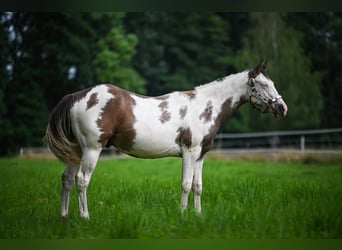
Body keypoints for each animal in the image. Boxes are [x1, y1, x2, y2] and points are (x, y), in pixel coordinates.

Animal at [44, 59, 286, 218]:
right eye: (264, 84)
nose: (282, 108)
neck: (205, 107)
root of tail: (76, 96)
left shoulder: (200, 156)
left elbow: (198, 185)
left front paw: (198, 215)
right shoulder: (189, 152)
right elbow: (186, 184)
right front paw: (182, 214)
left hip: (76, 151)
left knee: (67, 179)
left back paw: (64, 216)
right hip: (91, 149)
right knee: (82, 180)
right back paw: (85, 217)